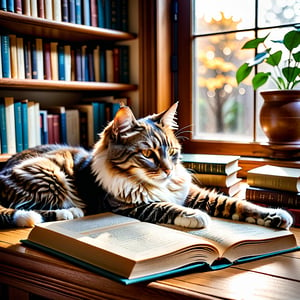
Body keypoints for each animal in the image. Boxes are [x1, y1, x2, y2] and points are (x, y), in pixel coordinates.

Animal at [0, 102, 292, 229]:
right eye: (148, 154)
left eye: (172, 153)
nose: (168, 170)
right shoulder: (129, 206)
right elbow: (165, 207)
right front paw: (195, 216)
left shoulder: (193, 193)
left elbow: (236, 204)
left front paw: (275, 215)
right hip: (50, 175)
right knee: (30, 209)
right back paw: (69, 213)